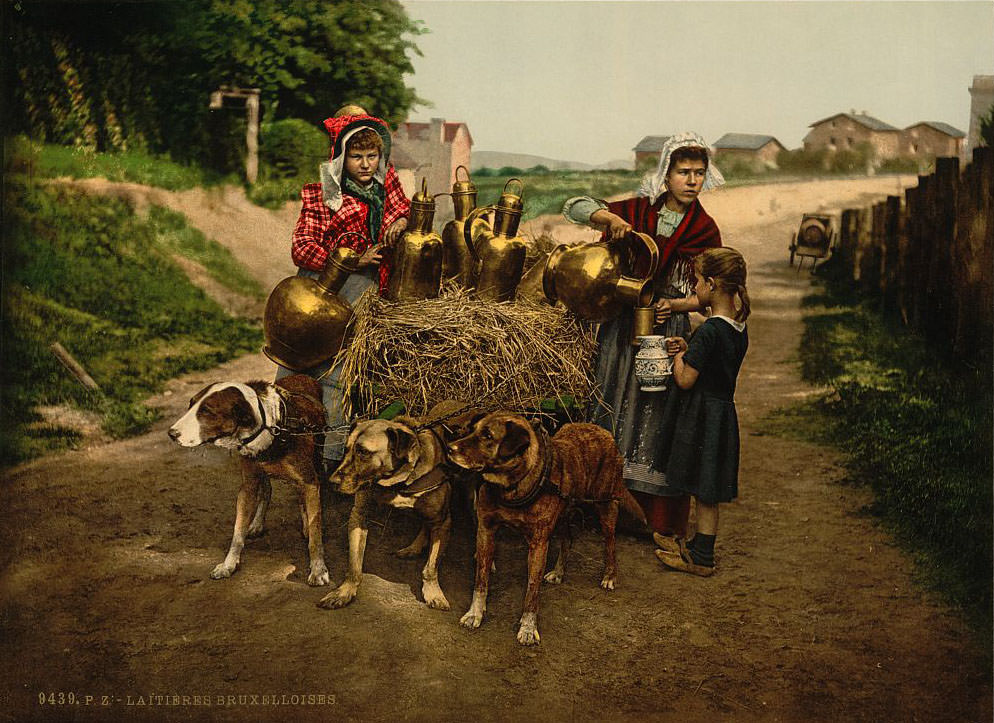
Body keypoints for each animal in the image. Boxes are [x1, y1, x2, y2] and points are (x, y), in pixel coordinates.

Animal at [168, 374, 330, 588]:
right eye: (191, 404)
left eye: (207, 411)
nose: (171, 434)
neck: (270, 427)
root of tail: (302, 375)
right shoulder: (248, 486)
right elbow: (238, 532)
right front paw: (229, 564)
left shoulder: (309, 481)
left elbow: (315, 531)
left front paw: (318, 568)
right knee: (268, 490)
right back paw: (257, 523)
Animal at [448, 412, 644, 644]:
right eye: (472, 430)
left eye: (487, 435)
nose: (450, 448)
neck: (512, 487)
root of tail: (603, 431)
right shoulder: (486, 530)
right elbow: (481, 580)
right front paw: (475, 613)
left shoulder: (539, 544)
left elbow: (532, 591)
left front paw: (528, 627)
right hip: (564, 512)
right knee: (568, 539)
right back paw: (559, 572)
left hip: (606, 506)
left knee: (611, 543)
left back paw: (609, 576)